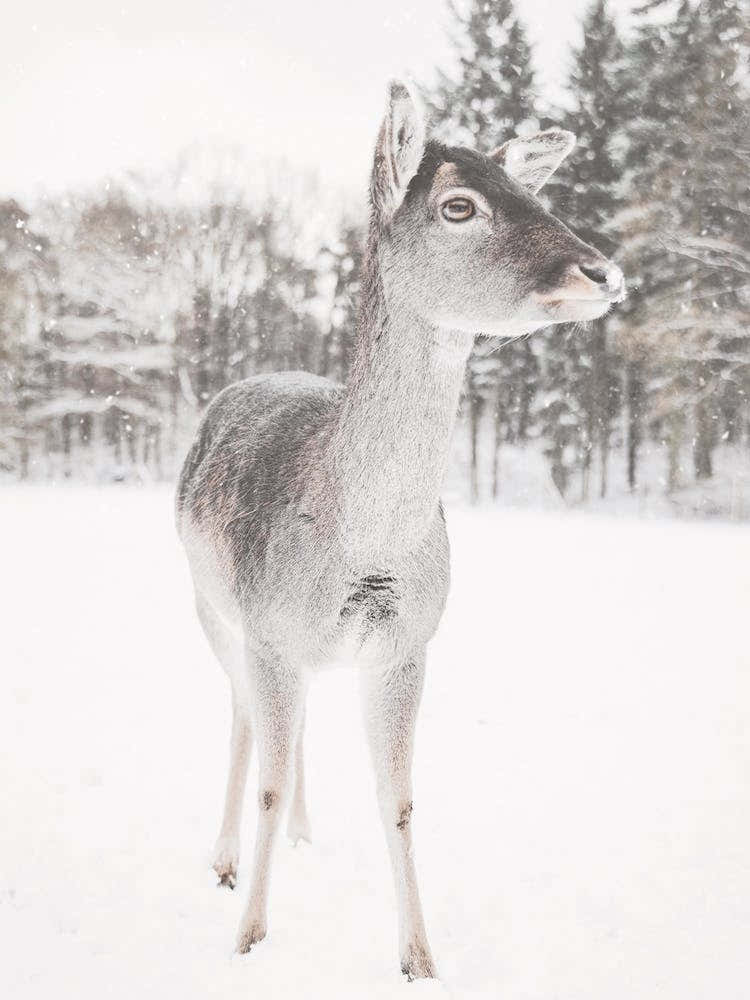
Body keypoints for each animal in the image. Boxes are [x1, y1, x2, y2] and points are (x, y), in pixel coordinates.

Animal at [175, 80, 625, 980]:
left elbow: (400, 797)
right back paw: (225, 859)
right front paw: (249, 939)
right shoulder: (269, 630)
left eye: (536, 192)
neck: (365, 550)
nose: (602, 270)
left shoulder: (408, 642)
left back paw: (304, 834)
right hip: (209, 605)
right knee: (242, 715)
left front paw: (420, 957)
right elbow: (268, 776)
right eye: (459, 205)